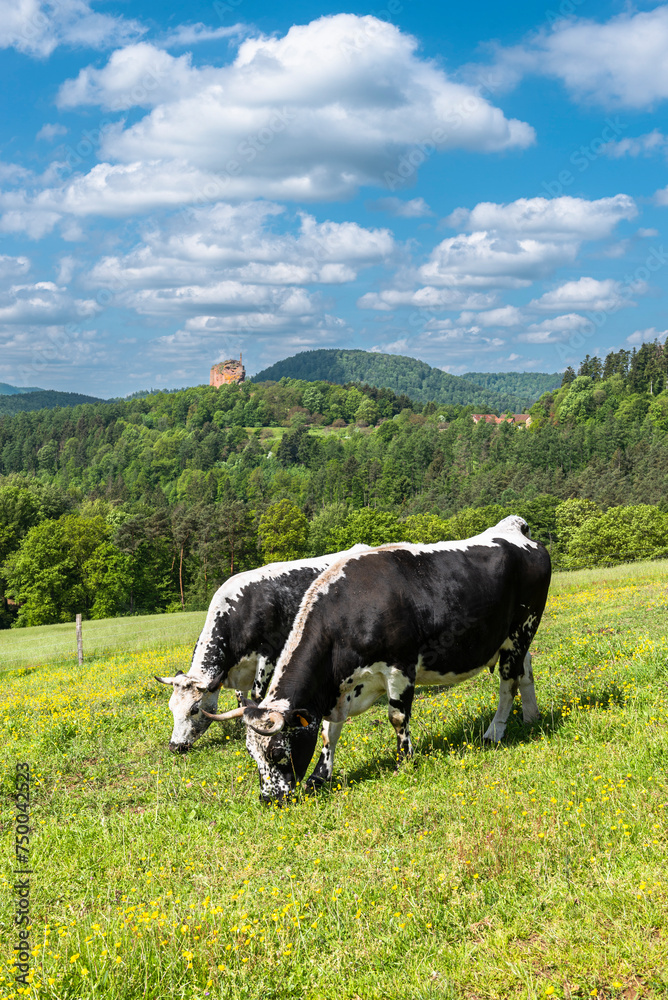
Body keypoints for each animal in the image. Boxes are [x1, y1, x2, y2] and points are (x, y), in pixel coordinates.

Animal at [154, 548, 368, 752]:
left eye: (194, 709)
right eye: (171, 707)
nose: (175, 746)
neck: (240, 610)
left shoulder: (268, 655)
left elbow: (256, 695)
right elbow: (241, 698)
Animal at [206, 520, 552, 800]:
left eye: (278, 751)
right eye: (251, 754)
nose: (269, 799)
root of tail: (513, 528)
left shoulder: (400, 668)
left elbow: (397, 718)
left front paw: (405, 760)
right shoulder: (337, 688)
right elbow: (328, 732)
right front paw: (320, 776)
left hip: (522, 628)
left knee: (508, 684)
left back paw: (495, 732)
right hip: (515, 640)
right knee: (525, 673)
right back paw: (531, 716)